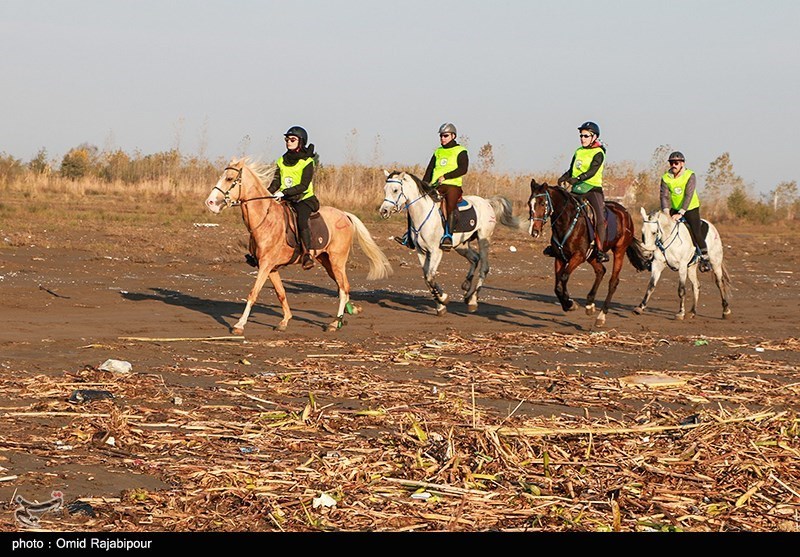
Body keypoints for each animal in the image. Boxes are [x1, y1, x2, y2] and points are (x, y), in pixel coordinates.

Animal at [205, 156, 392, 334]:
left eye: (229, 178)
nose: (210, 203)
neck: (266, 220)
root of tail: (344, 215)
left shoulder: (265, 265)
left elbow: (253, 293)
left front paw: (239, 325)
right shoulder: (271, 268)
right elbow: (281, 293)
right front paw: (285, 321)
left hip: (337, 261)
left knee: (343, 288)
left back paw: (335, 323)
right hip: (327, 262)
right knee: (343, 287)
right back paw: (350, 311)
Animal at [380, 169, 520, 314]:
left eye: (395, 190)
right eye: (385, 189)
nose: (383, 211)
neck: (423, 214)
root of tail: (486, 202)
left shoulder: (436, 252)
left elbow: (430, 277)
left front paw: (443, 299)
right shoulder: (421, 251)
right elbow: (427, 278)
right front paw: (440, 305)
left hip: (483, 240)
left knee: (484, 268)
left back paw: (473, 300)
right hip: (461, 246)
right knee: (475, 258)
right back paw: (466, 289)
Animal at [528, 177, 652, 326]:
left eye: (542, 203)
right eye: (529, 203)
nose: (534, 231)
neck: (567, 221)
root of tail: (625, 212)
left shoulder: (578, 256)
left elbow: (564, 277)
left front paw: (570, 304)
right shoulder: (559, 257)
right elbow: (557, 286)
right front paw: (567, 304)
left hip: (619, 251)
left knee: (613, 282)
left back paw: (601, 316)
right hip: (592, 255)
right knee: (600, 271)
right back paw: (590, 305)